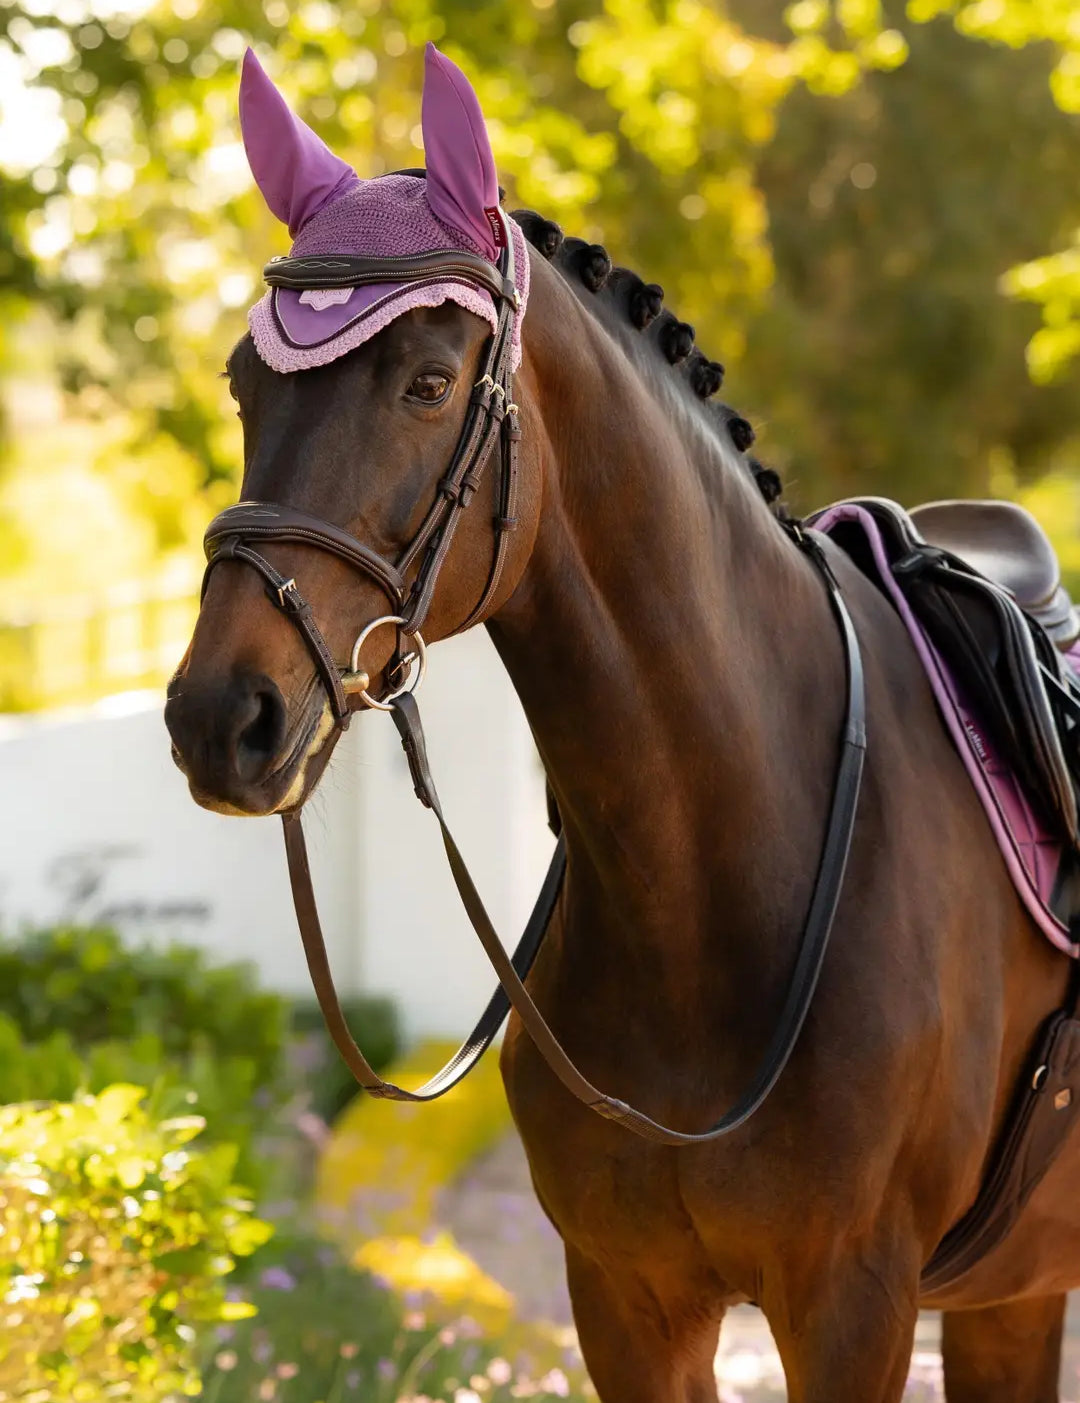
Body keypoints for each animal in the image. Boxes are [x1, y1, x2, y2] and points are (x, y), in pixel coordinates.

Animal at [165, 43, 1080, 1402]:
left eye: (430, 382)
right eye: (244, 382)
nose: (221, 715)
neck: (715, 878)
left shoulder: (853, 1304)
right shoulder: (625, 1295)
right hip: (1011, 1290)